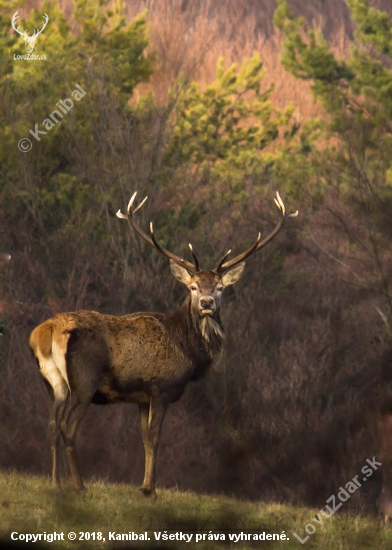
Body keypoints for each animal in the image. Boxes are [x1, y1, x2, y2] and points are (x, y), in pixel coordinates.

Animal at [29, 192, 298, 498]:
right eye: (193, 287)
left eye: (220, 287)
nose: (207, 303)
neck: (188, 351)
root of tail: (46, 331)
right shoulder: (161, 386)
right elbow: (155, 436)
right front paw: (151, 490)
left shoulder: (141, 396)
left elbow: (144, 437)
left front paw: (144, 485)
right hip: (85, 380)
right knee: (68, 426)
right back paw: (79, 485)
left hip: (54, 383)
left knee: (52, 423)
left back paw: (56, 483)